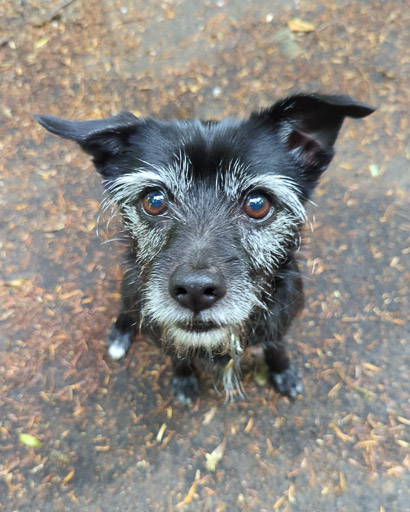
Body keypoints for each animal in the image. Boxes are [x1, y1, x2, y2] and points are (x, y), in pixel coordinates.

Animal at [35, 93, 374, 404]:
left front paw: (283, 372)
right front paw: (183, 378)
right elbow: (177, 355)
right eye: (154, 200)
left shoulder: (279, 325)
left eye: (257, 204)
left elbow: (277, 348)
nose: (195, 291)